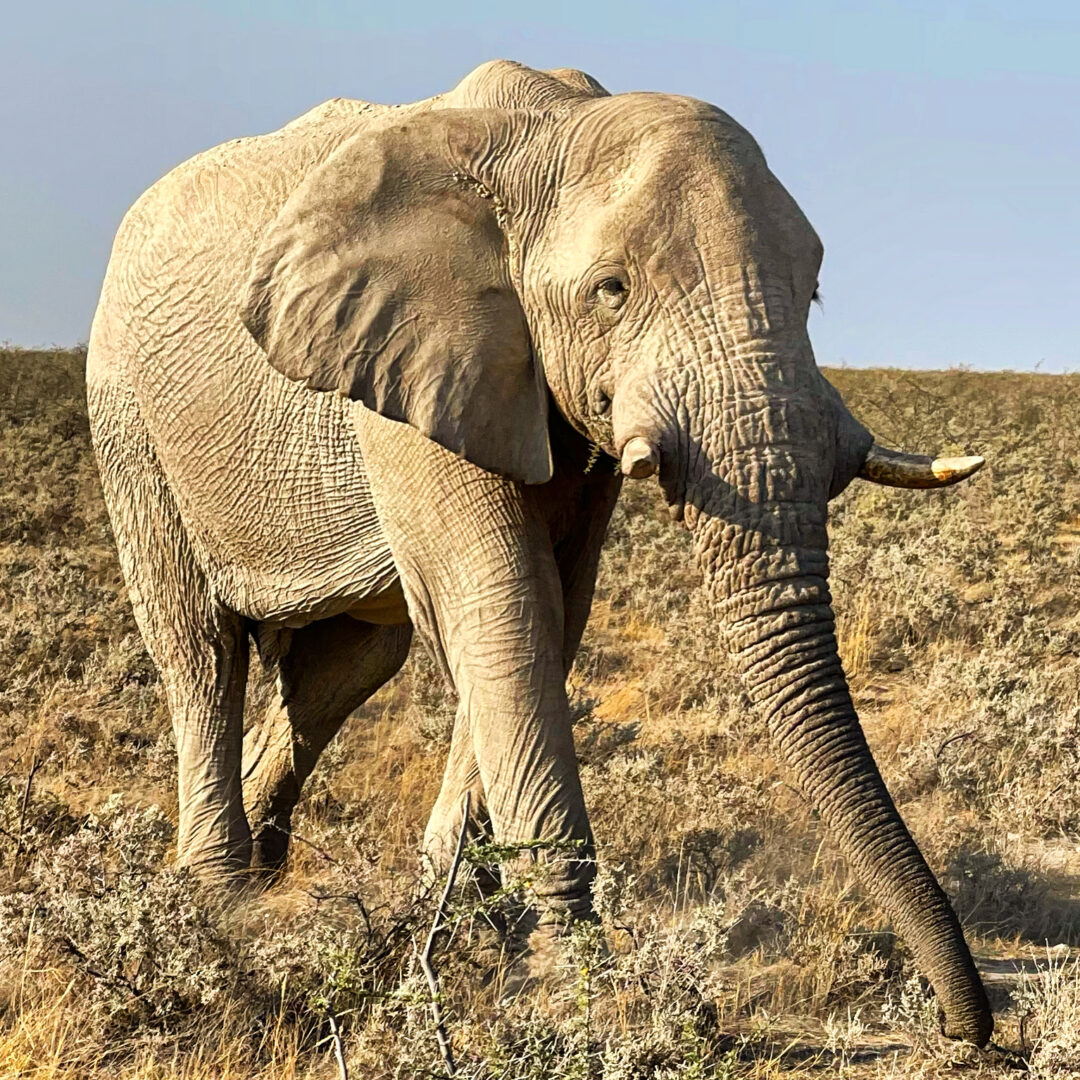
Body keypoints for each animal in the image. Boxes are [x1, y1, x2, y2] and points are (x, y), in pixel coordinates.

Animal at [86, 61, 993, 1045]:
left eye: (815, 292)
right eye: (611, 290)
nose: (967, 1029)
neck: (550, 132)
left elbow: (553, 610)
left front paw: (457, 919)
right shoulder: (414, 366)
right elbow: (502, 604)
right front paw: (579, 993)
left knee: (344, 669)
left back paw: (264, 878)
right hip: (130, 423)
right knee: (202, 651)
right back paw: (222, 909)